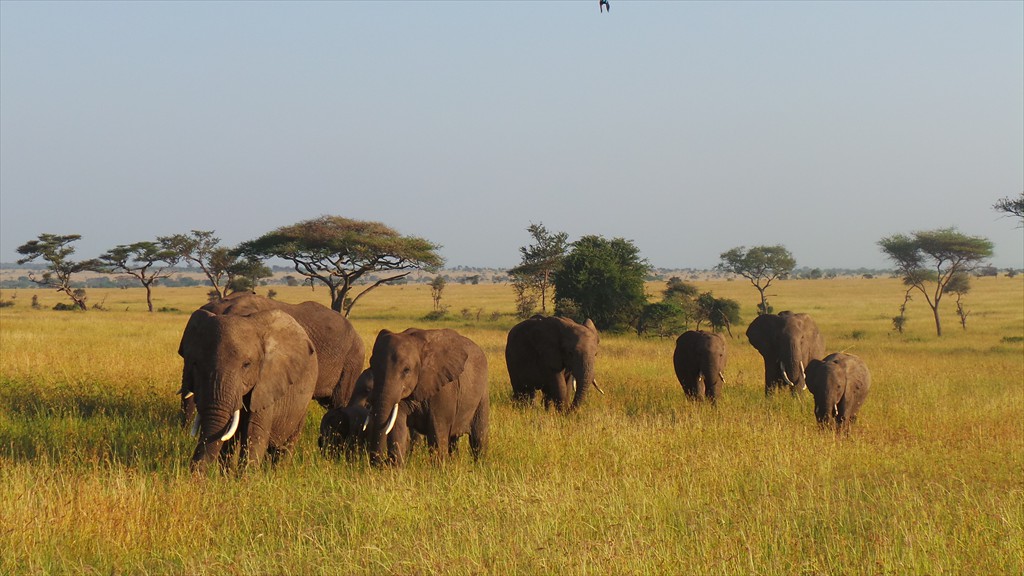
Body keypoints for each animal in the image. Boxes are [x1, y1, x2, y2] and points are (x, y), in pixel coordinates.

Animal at [178, 307, 317, 469]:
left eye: (246, 365)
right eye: (195, 364)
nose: (193, 474)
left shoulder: (266, 384)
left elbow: (254, 435)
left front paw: (246, 476)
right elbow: (227, 441)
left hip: (303, 404)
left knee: (286, 445)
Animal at [366, 325, 489, 463]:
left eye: (406, 370)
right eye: (372, 367)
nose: (383, 462)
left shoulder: (444, 387)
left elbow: (437, 429)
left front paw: (440, 467)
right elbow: (397, 426)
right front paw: (397, 467)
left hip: (483, 391)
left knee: (478, 436)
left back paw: (480, 464)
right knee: (454, 439)